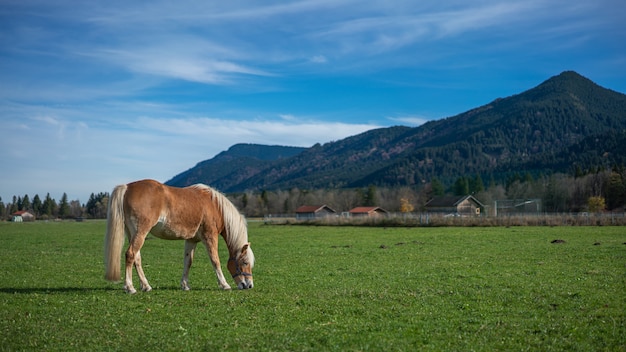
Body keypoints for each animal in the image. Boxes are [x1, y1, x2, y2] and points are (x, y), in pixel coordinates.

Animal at [105, 180, 254, 292]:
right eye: (245, 262)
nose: (249, 285)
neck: (214, 206)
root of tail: (127, 187)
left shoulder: (191, 240)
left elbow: (188, 261)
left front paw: (185, 285)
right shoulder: (210, 237)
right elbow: (215, 260)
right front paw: (224, 284)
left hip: (133, 234)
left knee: (137, 258)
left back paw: (146, 286)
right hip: (140, 232)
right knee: (130, 254)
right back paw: (130, 287)